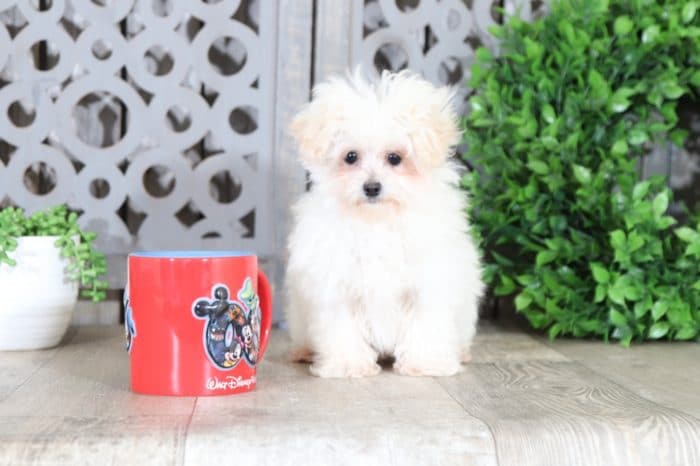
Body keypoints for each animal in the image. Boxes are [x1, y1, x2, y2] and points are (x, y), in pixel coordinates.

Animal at [284, 72, 482, 378]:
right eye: (351, 156)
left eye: (395, 158)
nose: (372, 187)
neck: (377, 221)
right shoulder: (338, 283)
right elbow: (342, 326)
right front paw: (348, 365)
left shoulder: (426, 283)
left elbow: (426, 322)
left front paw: (424, 363)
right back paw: (303, 352)